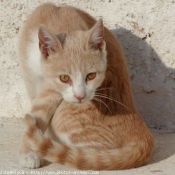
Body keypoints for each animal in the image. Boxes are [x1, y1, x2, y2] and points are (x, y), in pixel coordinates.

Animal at [17, 2, 154, 170]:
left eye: (91, 76)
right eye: (64, 78)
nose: (80, 96)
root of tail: (143, 135)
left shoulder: (52, 91)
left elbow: (39, 113)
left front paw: (29, 148)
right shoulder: (31, 77)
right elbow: (36, 113)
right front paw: (29, 148)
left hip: (66, 117)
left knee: (94, 158)